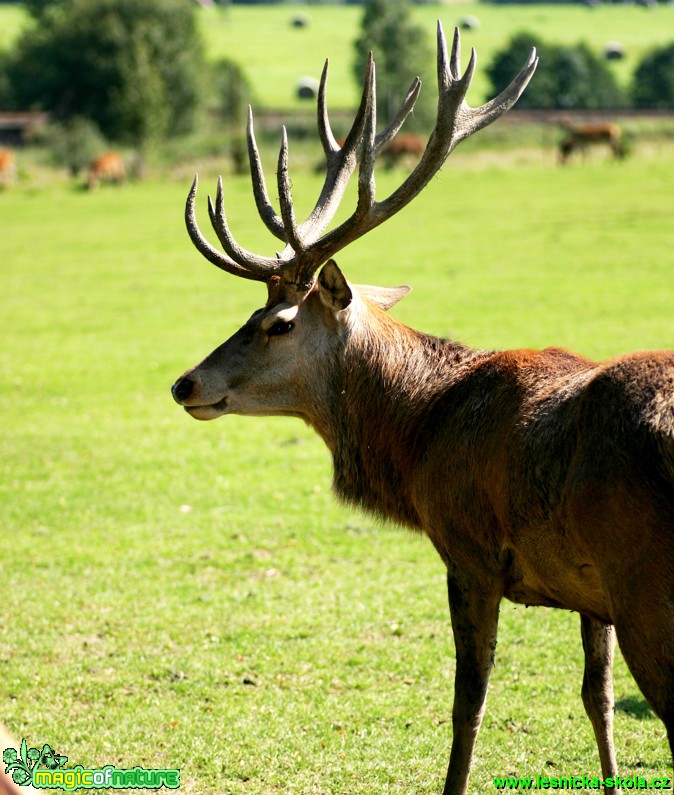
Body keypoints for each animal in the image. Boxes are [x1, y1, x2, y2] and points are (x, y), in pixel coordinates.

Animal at [172, 24, 672, 795]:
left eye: (277, 322)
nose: (185, 384)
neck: (418, 434)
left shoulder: (468, 549)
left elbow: (470, 701)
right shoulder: (593, 591)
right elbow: (600, 699)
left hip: (648, 575)